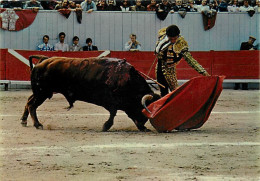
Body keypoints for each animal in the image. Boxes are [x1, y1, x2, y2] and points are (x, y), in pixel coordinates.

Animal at [21, 55, 160, 132]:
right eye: (144, 107)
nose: (143, 123)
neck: (127, 79)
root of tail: (43, 61)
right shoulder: (113, 103)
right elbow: (113, 114)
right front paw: (106, 126)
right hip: (42, 93)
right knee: (32, 105)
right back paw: (38, 125)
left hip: (40, 93)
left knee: (28, 102)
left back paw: (24, 121)